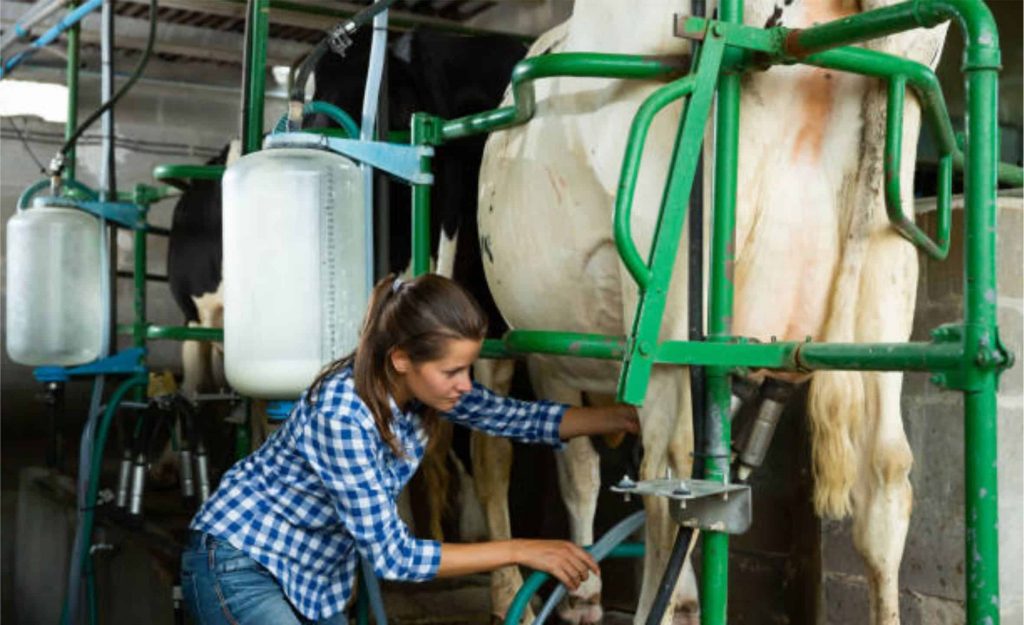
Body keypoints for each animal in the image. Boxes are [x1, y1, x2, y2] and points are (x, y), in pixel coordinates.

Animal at [475, 1, 946, 622]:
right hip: (887, 283)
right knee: (887, 473)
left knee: (667, 469)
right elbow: (575, 458)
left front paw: (569, 592)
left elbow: (564, 462)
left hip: (668, 291)